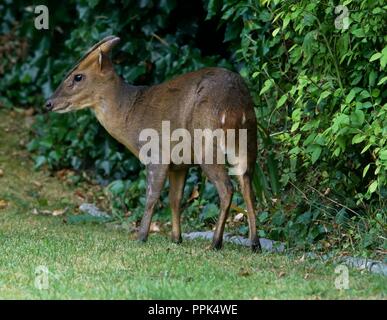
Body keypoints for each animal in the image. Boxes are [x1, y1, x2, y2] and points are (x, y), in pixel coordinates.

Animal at [47, 36, 262, 251]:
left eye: (78, 77)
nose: (49, 103)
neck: (128, 114)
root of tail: (235, 103)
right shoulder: (179, 164)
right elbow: (175, 199)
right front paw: (176, 238)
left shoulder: (156, 154)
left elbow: (152, 195)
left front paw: (141, 236)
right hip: (249, 140)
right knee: (248, 187)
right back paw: (254, 244)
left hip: (207, 143)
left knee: (227, 188)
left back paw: (215, 243)